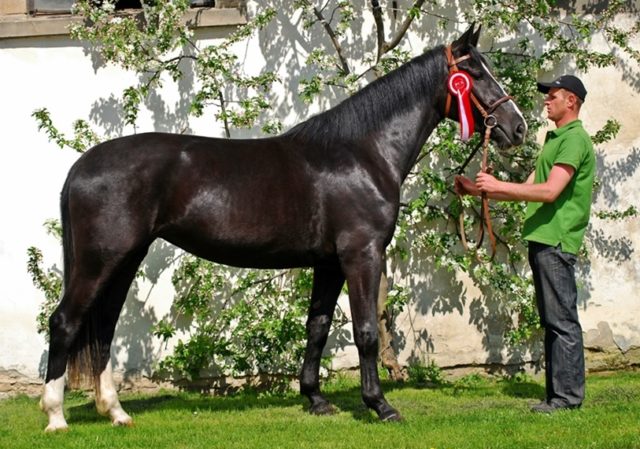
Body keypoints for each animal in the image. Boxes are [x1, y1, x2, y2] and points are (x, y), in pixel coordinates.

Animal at [41, 25, 524, 430]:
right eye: (474, 73)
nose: (517, 128)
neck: (361, 153)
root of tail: (81, 166)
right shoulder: (362, 254)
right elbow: (366, 331)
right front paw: (380, 405)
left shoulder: (329, 263)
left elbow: (318, 326)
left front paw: (315, 399)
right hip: (100, 261)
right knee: (65, 321)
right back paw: (56, 417)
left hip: (124, 259)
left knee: (103, 327)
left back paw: (116, 413)